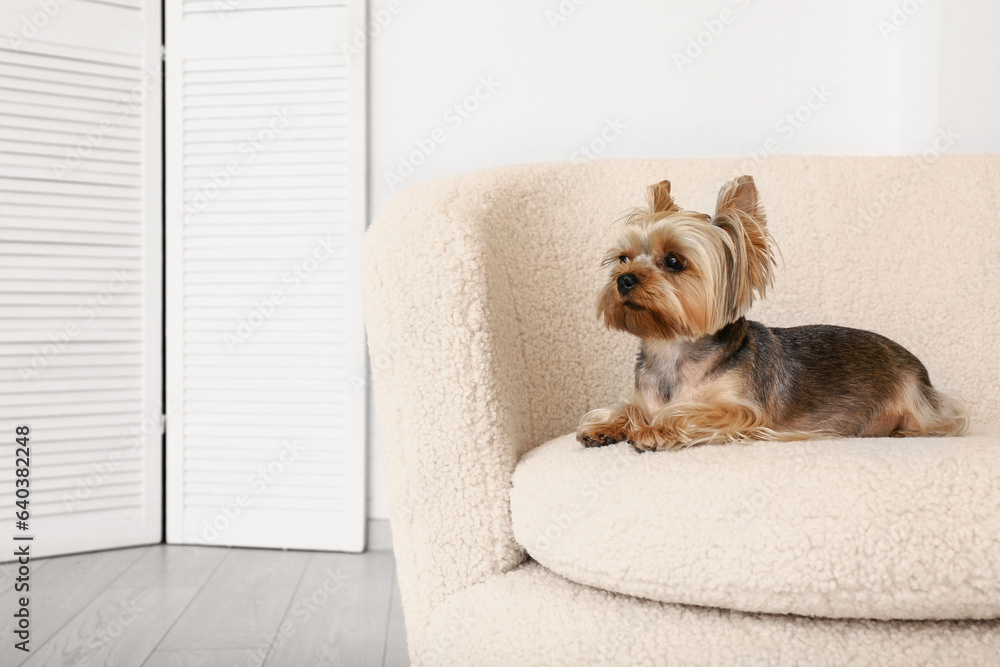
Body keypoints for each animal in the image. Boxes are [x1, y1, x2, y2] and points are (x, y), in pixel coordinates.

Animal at [580, 175, 968, 454]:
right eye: (623, 259)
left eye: (674, 261)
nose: (624, 280)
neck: (673, 349)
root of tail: (919, 369)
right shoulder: (643, 393)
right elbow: (631, 406)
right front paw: (607, 425)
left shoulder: (745, 412)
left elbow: (691, 412)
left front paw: (655, 429)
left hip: (919, 408)